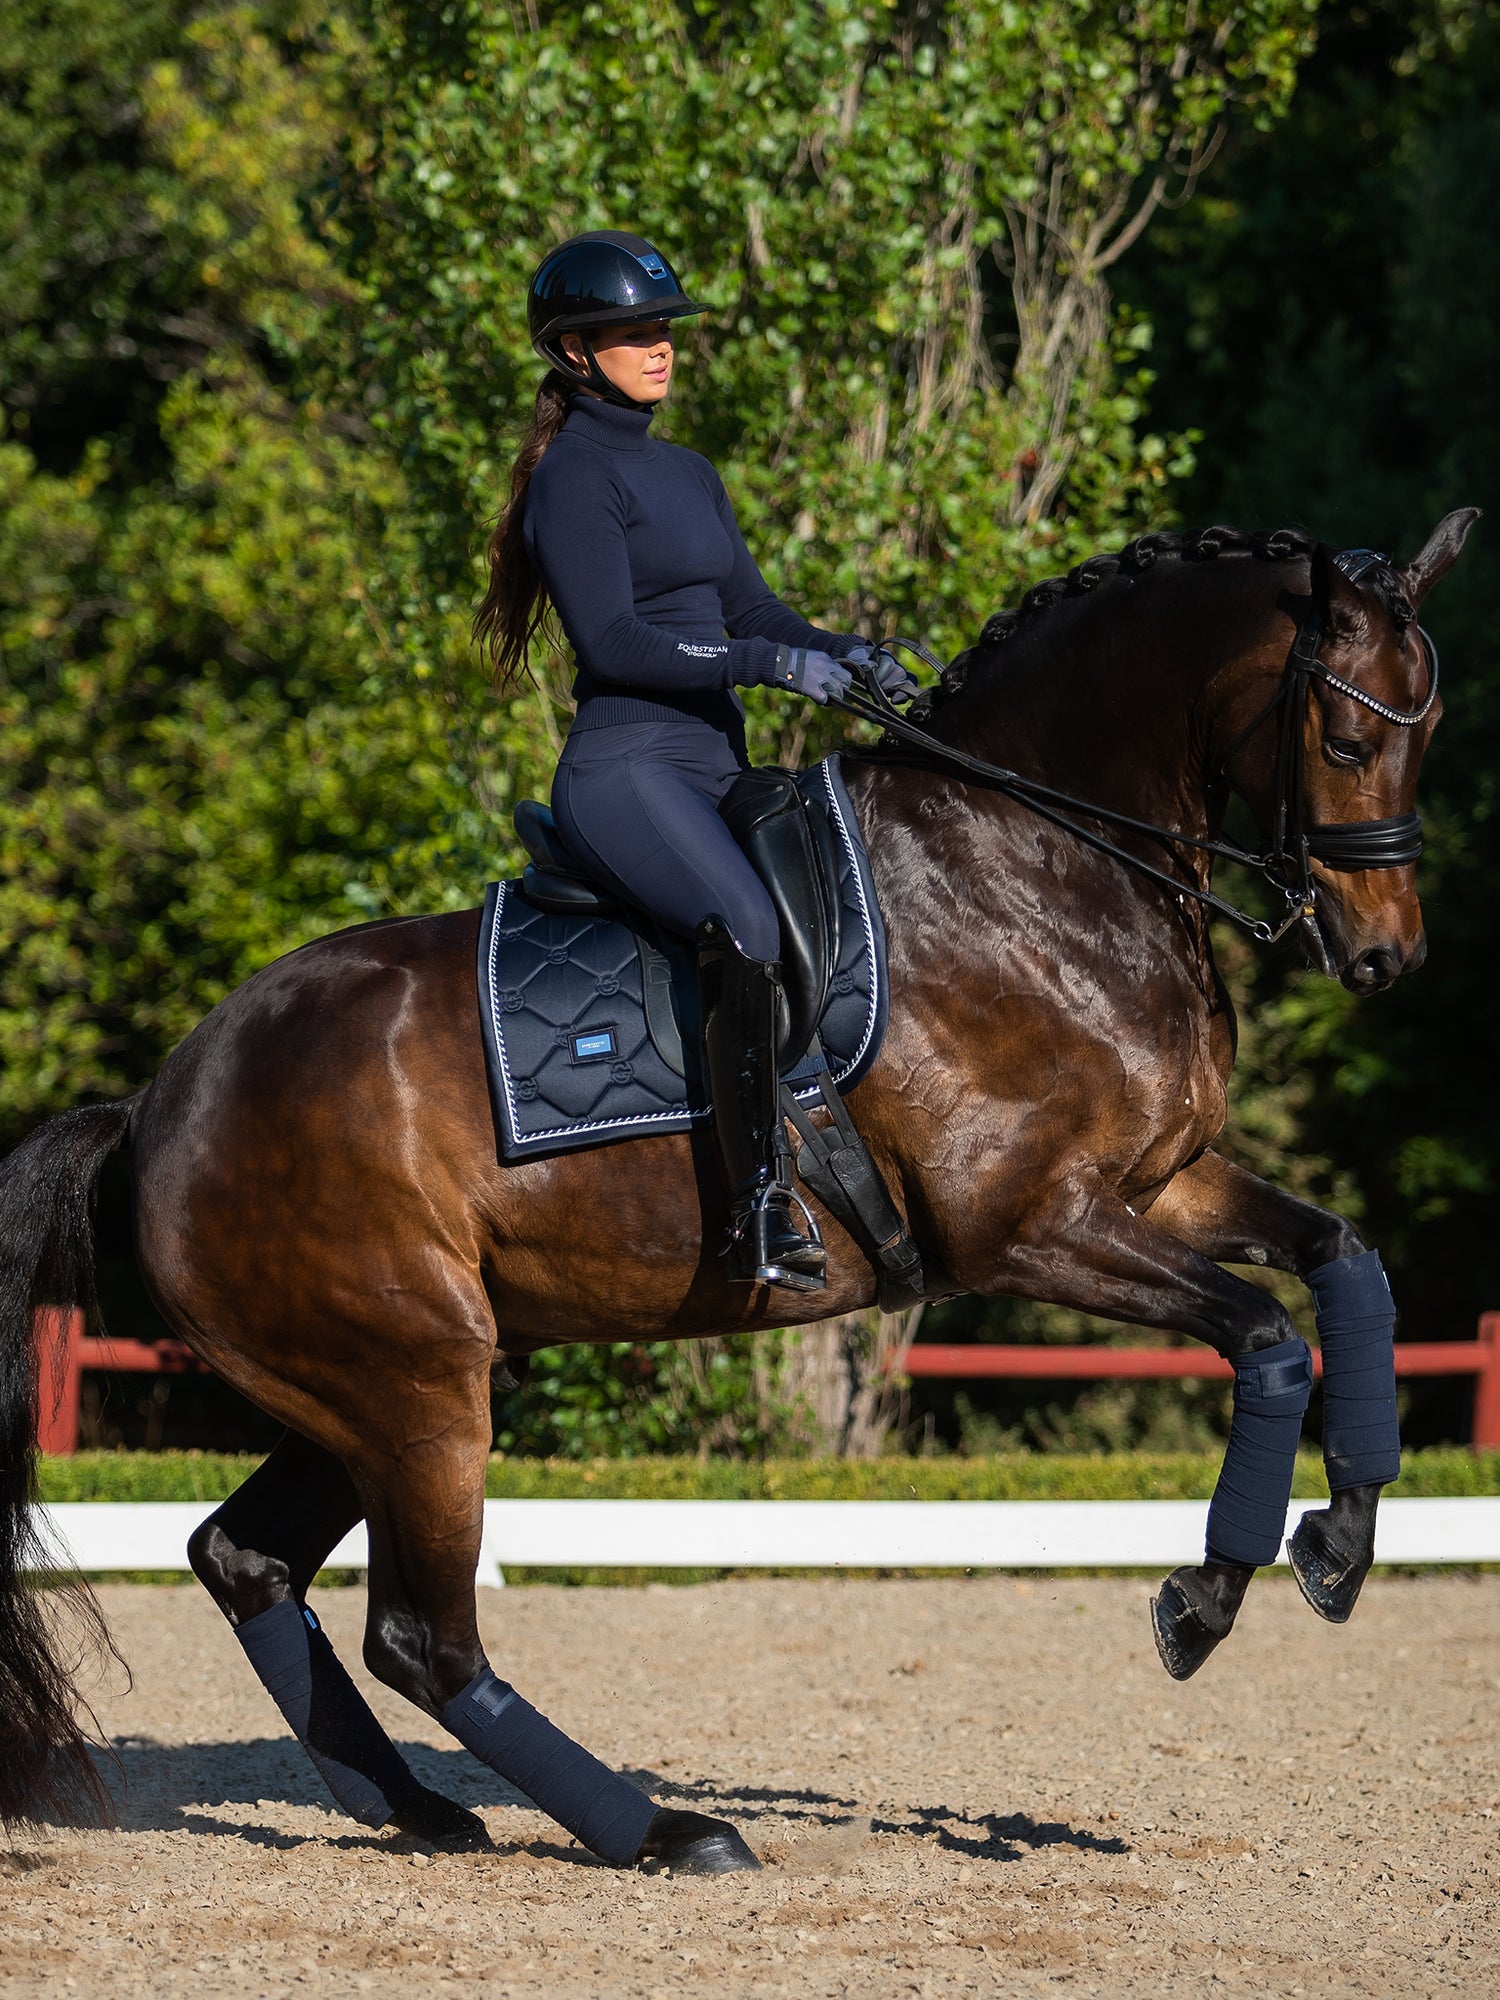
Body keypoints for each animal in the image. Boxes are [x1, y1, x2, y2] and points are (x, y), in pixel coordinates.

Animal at [0, 508, 1480, 1864]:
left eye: (1428, 732)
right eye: (1349, 743)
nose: (1386, 957)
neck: (1038, 856)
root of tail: (161, 1102)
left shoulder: (1160, 1184)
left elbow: (1344, 1264)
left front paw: (1341, 1543)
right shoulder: (1029, 1228)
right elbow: (1265, 1337)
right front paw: (1204, 1597)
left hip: (372, 1387)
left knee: (244, 1561)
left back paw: (420, 1812)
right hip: (416, 1389)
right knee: (422, 1637)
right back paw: (662, 1830)